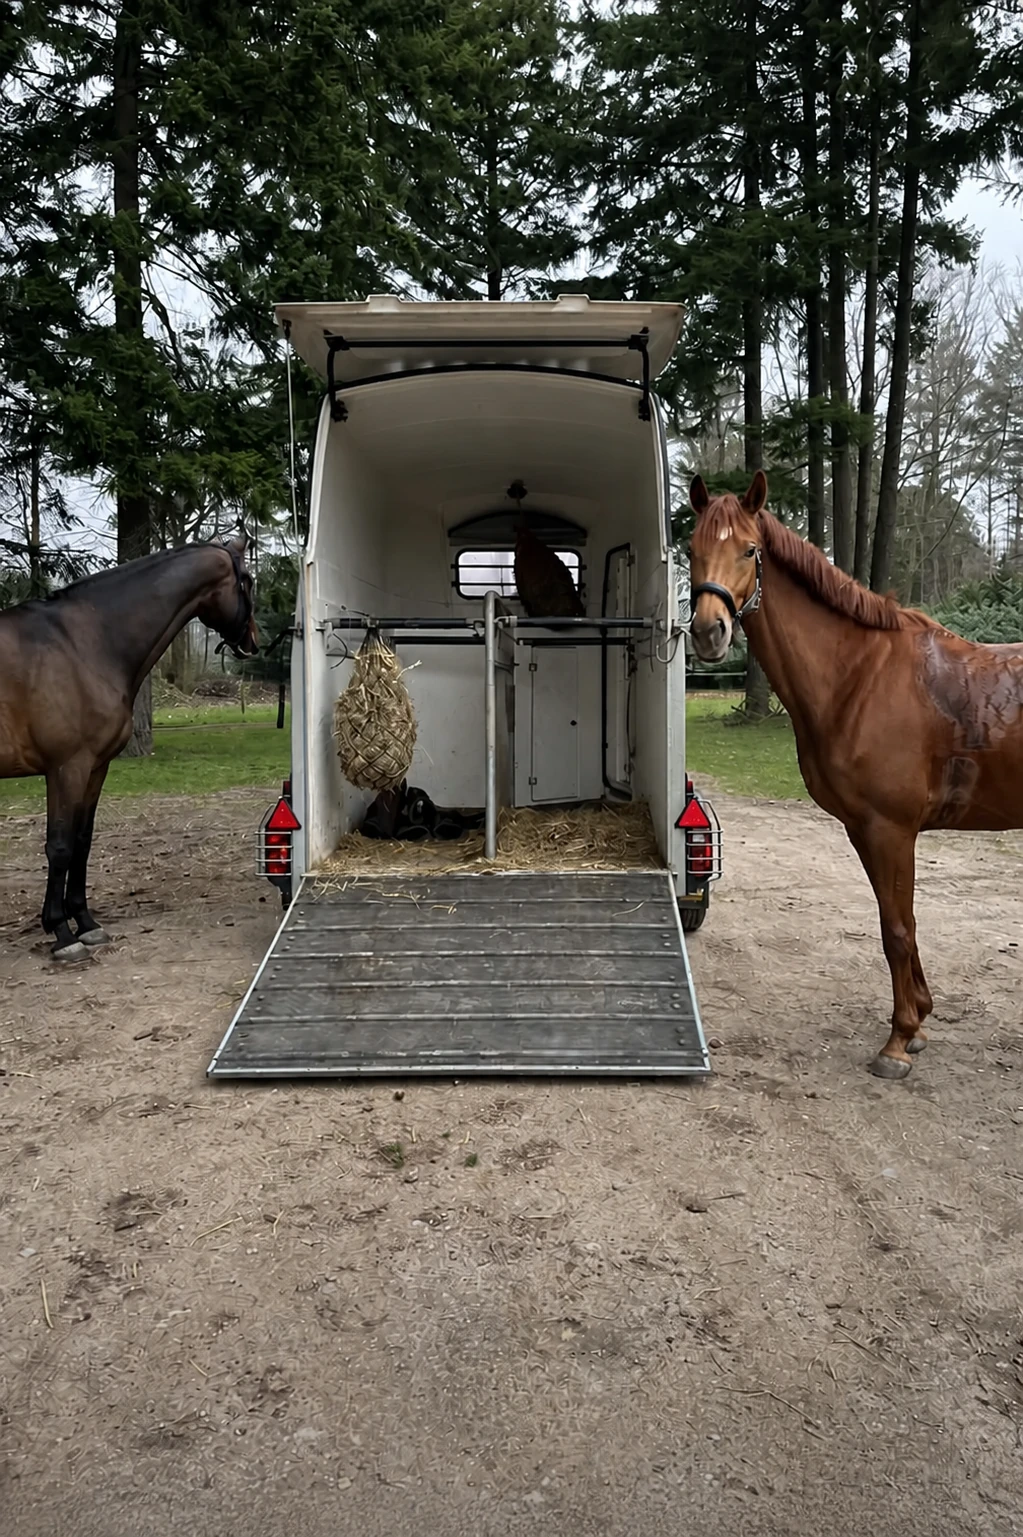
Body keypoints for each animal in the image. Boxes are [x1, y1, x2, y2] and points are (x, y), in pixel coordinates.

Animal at [0, 534, 258, 961]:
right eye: (248, 581)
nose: (253, 641)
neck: (83, 642)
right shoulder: (66, 768)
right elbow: (60, 846)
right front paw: (62, 934)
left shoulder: (95, 767)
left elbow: (82, 842)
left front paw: (86, 923)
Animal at [687, 469, 1023, 1080]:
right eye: (692, 550)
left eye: (749, 549)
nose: (708, 633)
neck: (859, 676)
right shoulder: (863, 829)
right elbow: (900, 921)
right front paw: (919, 1022)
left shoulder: (891, 829)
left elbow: (897, 930)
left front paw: (898, 1042)